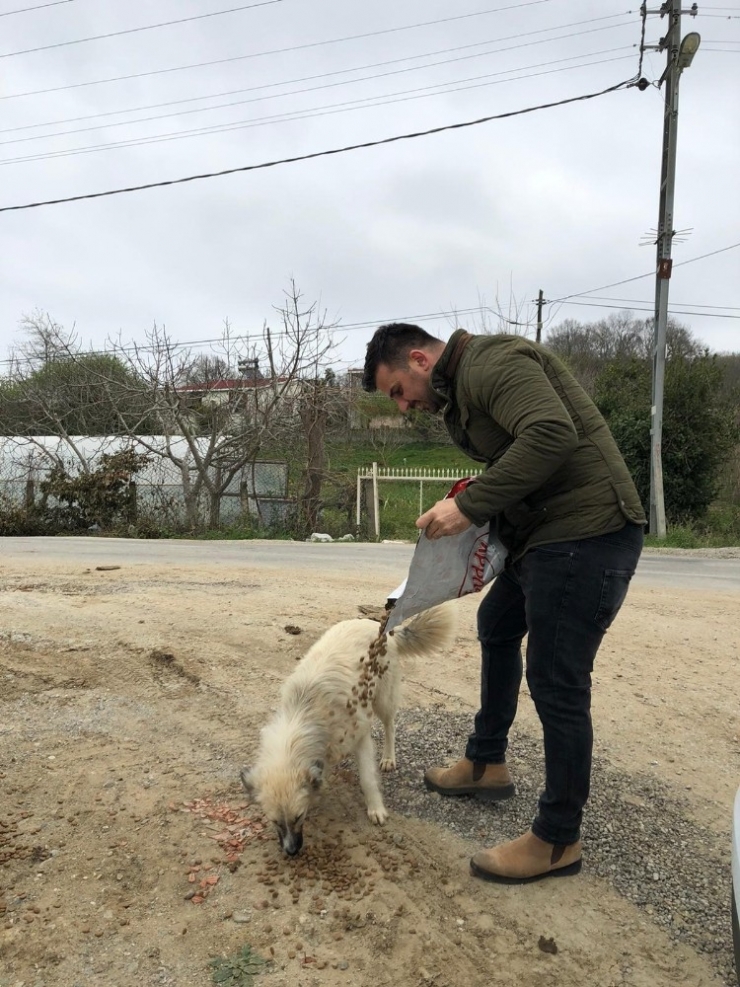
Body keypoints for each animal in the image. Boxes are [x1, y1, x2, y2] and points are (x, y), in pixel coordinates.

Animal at [240, 604, 454, 852]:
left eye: (299, 817)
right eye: (274, 821)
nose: (291, 852)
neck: (303, 713)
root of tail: (381, 627)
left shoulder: (361, 737)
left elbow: (367, 779)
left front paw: (376, 808)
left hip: (383, 700)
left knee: (390, 726)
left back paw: (388, 758)